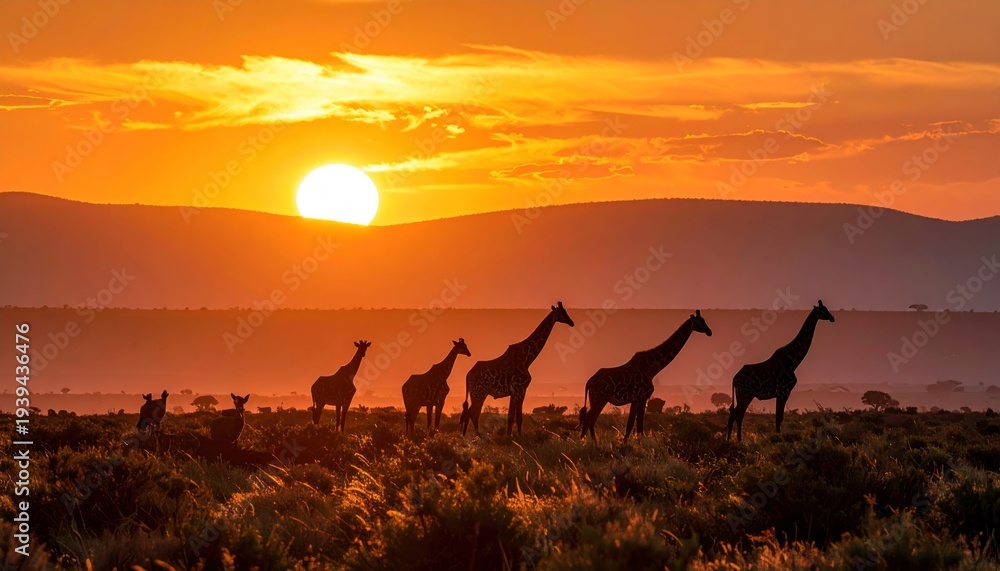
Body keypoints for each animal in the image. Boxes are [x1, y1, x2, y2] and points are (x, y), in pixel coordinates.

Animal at [460, 302, 574, 436]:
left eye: (566, 310)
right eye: (562, 312)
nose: (571, 322)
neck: (527, 359)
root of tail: (468, 374)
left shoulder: (514, 392)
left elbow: (510, 416)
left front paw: (509, 436)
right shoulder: (521, 389)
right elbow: (519, 417)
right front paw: (519, 436)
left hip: (477, 393)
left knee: (471, 413)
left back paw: (469, 435)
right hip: (479, 392)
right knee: (472, 413)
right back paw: (475, 436)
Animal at [579, 310, 713, 441]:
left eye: (704, 320)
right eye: (698, 322)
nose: (709, 332)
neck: (652, 369)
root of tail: (589, 381)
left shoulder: (635, 400)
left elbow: (631, 426)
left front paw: (626, 444)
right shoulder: (641, 397)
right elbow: (638, 427)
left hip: (599, 399)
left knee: (590, 420)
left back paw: (591, 443)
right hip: (598, 398)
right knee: (589, 419)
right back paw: (586, 443)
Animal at [727, 300, 835, 441]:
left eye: (827, 309)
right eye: (823, 310)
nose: (832, 318)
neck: (793, 362)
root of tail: (735, 378)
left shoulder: (781, 393)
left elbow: (779, 418)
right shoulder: (784, 391)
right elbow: (779, 418)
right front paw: (779, 439)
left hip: (745, 394)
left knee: (735, 413)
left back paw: (730, 439)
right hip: (745, 393)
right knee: (738, 414)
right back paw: (739, 440)